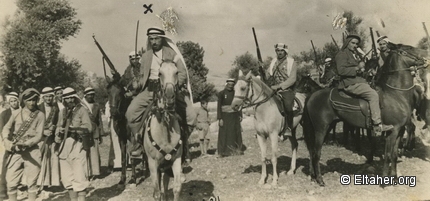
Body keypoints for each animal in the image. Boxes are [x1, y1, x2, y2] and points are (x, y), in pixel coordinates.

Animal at [302, 43, 426, 186]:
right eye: (409, 48)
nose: (425, 55)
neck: (395, 94)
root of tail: (312, 95)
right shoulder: (392, 131)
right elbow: (388, 155)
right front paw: (385, 181)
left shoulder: (399, 131)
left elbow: (394, 156)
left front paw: (394, 179)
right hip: (320, 129)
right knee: (316, 153)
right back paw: (320, 180)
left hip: (325, 128)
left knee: (312, 152)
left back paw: (313, 176)